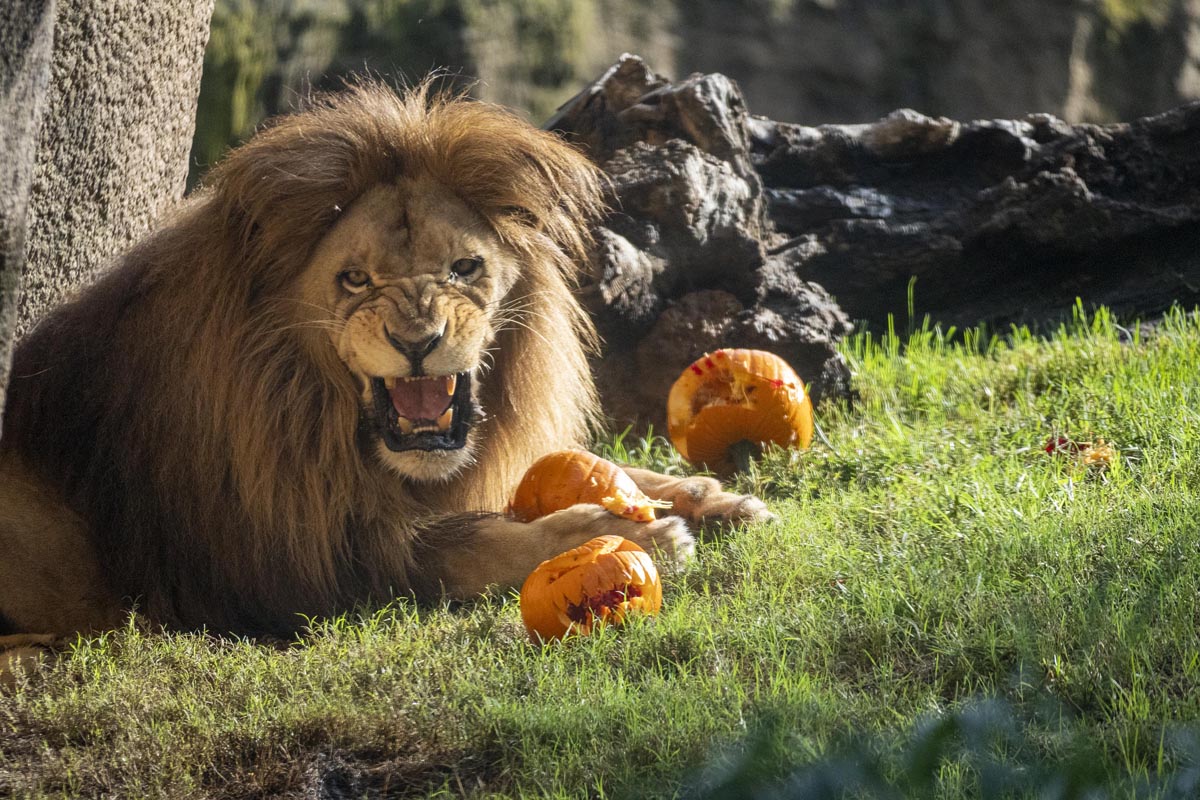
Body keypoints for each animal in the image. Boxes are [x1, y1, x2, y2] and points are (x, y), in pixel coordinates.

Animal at [0, 81, 770, 682]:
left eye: (464, 268)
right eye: (354, 280)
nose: (417, 342)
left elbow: (602, 473)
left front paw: (714, 499)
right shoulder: (312, 569)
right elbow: (478, 543)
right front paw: (633, 538)